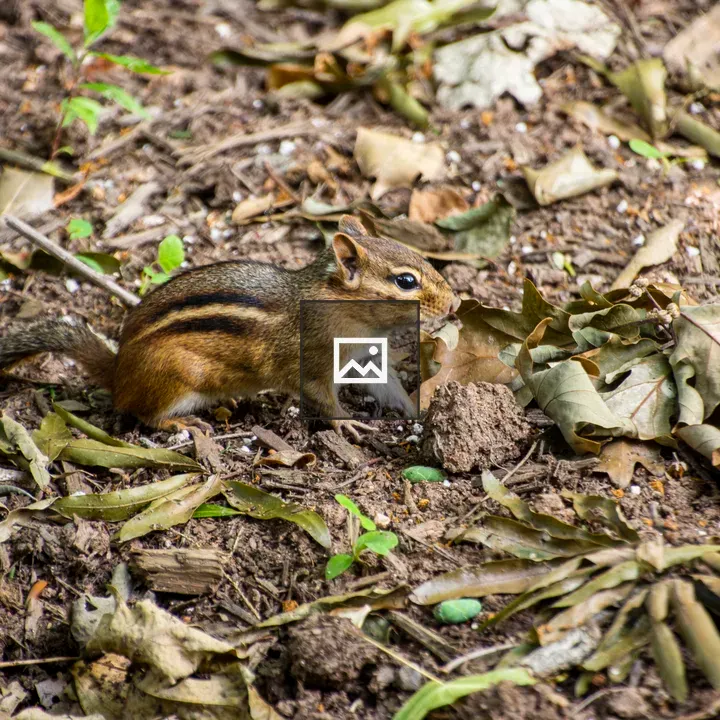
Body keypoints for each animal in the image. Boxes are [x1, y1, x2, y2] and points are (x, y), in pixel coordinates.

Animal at [0, 215, 459, 440]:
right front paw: (347, 423)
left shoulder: (364, 355)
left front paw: (418, 409)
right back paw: (181, 425)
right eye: (406, 281)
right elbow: (322, 400)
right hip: (175, 378)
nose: (455, 302)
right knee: (142, 414)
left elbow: (389, 387)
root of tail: (117, 371)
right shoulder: (311, 364)